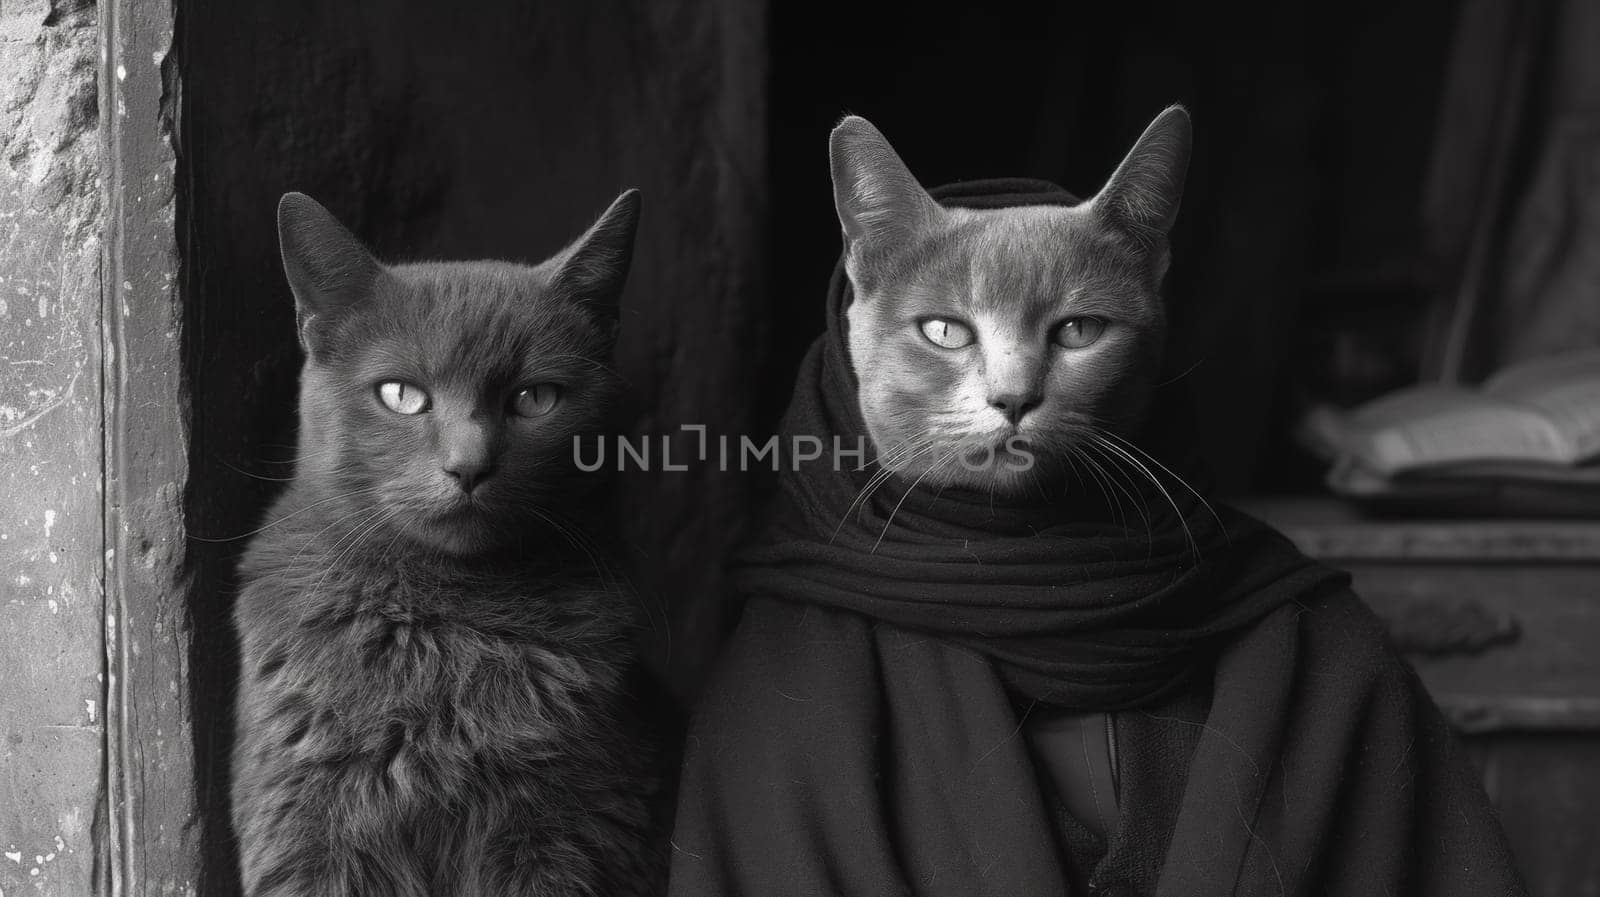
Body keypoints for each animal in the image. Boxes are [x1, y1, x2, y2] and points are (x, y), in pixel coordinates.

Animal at [228, 190, 659, 895]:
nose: (469, 466)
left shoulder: (566, 834)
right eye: (401, 394)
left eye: (535, 398)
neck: (445, 619)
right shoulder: (307, 824)